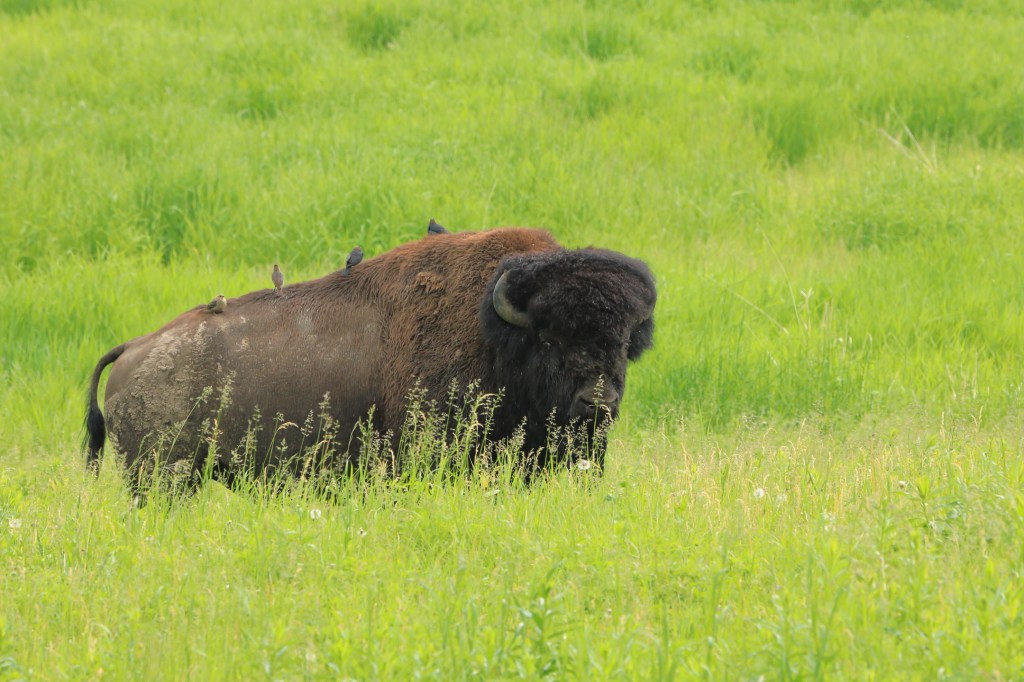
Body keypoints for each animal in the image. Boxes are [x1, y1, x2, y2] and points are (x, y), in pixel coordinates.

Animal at [84, 227, 656, 490]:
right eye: (551, 340)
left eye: (624, 343)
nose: (598, 403)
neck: (497, 337)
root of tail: (133, 350)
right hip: (160, 477)